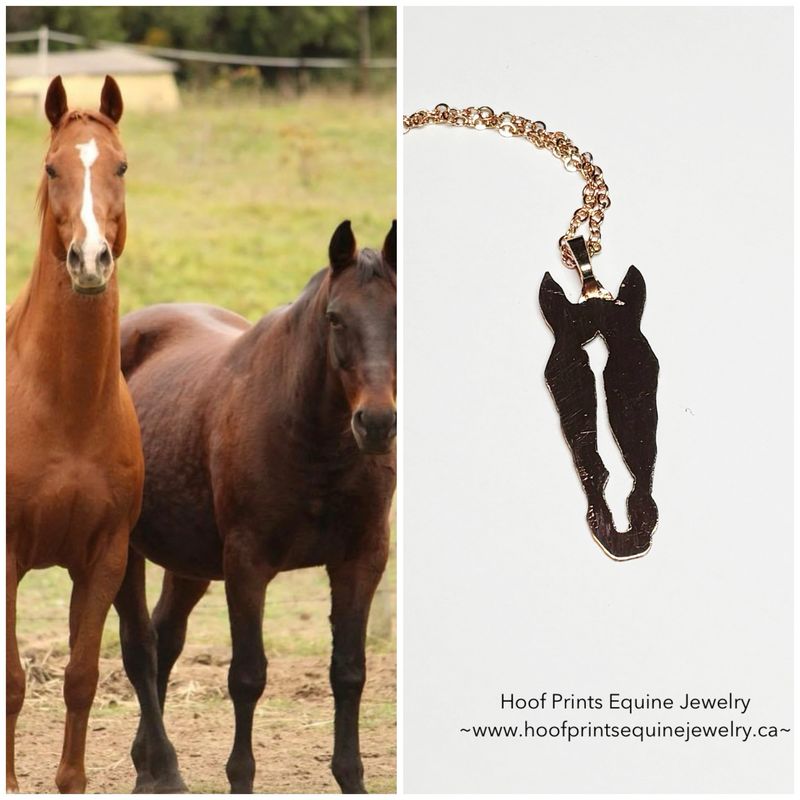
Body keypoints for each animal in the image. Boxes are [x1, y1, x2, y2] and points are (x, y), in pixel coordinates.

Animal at [114, 219, 397, 793]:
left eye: (400, 313)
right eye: (335, 318)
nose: (377, 424)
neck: (314, 440)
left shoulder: (361, 560)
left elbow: (349, 672)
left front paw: (351, 778)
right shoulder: (247, 564)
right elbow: (247, 677)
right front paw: (239, 777)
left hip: (190, 563)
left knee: (164, 640)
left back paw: (147, 766)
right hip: (125, 550)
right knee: (140, 649)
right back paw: (165, 769)